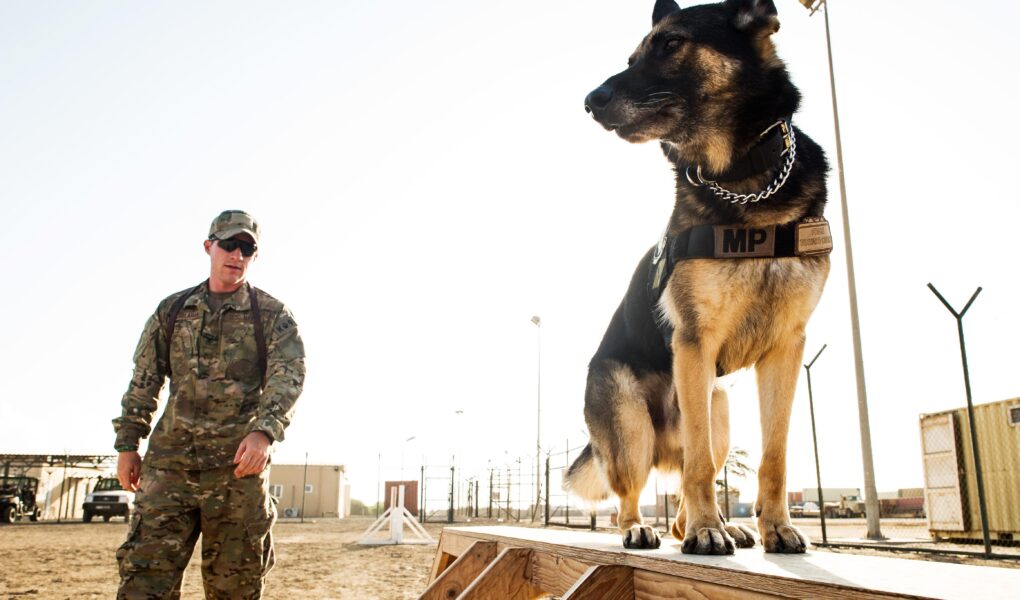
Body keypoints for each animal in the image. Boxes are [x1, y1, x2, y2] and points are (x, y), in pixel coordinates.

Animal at [563, 0, 832, 555]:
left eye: (671, 44)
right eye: (632, 56)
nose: (590, 101)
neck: (744, 181)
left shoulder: (787, 348)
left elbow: (774, 456)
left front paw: (776, 527)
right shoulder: (693, 340)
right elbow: (701, 466)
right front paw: (709, 529)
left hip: (719, 407)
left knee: (689, 473)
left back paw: (721, 526)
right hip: (631, 425)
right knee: (636, 492)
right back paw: (646, 528)